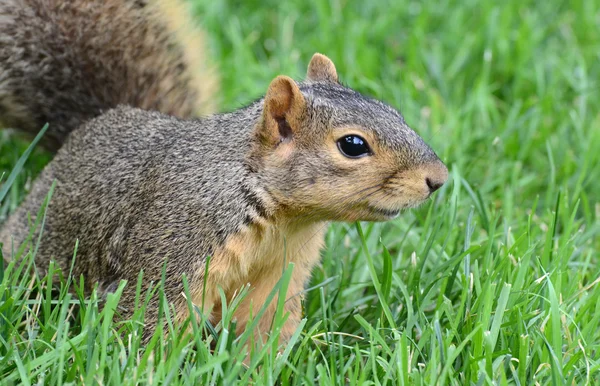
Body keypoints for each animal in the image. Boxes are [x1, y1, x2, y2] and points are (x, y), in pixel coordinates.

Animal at [1, 0, 450, 344]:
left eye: (394, 112)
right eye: (352, 145)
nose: (438, 178)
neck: (282, 218)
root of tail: (88, 127)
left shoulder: (280, 273)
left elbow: (262, 328)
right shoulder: (174, 253)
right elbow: (147, 326)